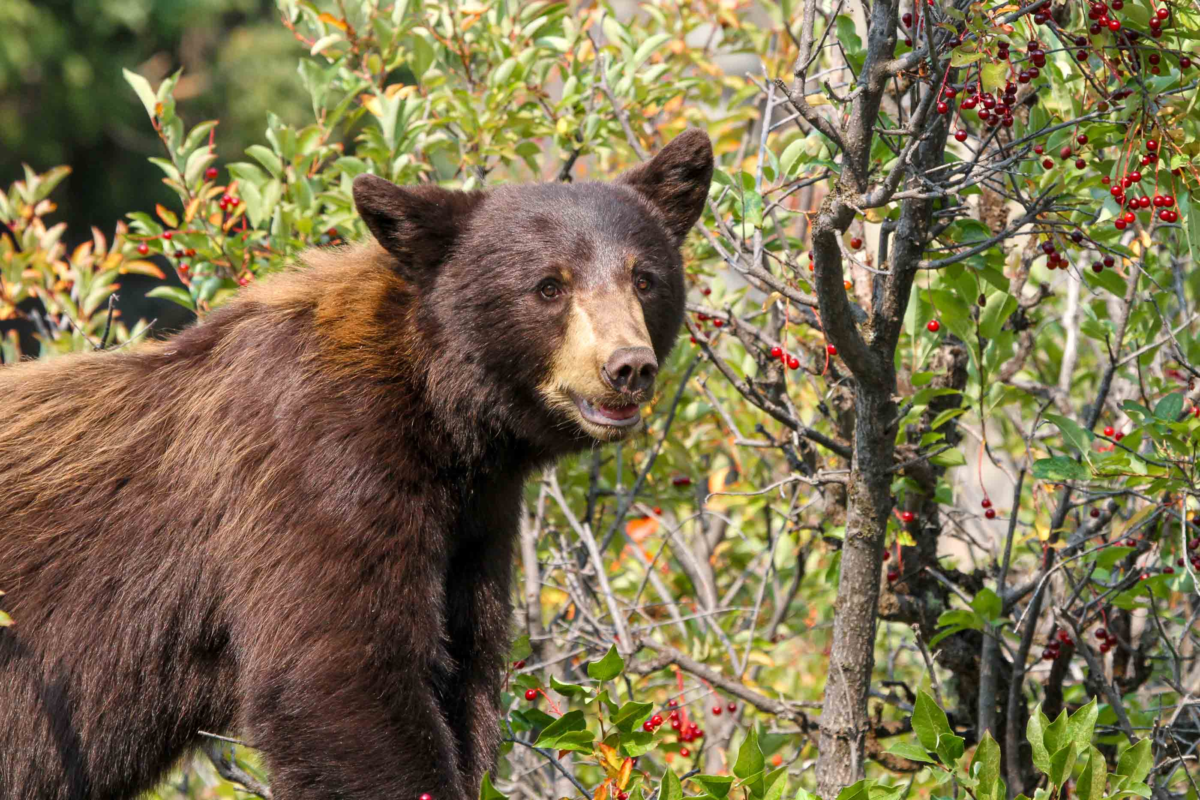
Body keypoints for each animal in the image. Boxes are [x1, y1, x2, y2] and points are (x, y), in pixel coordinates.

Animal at [0, 128, 713, 800]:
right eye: (548, 286)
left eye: (644, 278)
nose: (627, 367)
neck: (436, 409)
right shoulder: (322, 461)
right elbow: (342, 677)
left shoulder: (475, 522)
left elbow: (466, 674)